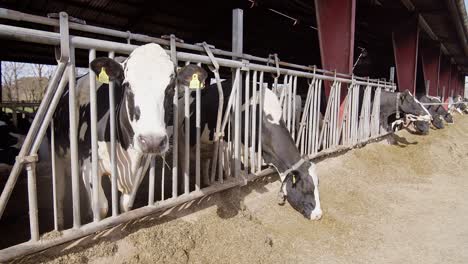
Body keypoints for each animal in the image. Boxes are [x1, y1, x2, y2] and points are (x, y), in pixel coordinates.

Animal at [54, 42, 207, 221]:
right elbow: (102, 207)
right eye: (127, 85)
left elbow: (126, 205)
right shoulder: (88, 161)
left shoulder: (141, 164)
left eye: (171, 87)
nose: (152, 141)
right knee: (60, 191)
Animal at [178, 79, 322, 220]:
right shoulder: (228, 144)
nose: (319, 215)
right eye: (306, 188)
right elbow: (232, 173)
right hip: (184, 139)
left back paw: (208, 182)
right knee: (184, 161)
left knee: (205, 159)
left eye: (317, 185)